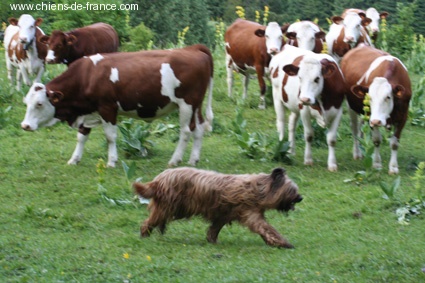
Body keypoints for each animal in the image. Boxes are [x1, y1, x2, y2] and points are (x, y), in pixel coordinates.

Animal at [20, 44, 214, 168]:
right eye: (26, 102)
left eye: (39, 104)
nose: (25, 125)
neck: (87, 76)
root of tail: (193, 48)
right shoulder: (87, 111)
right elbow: (81, 137)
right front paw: (74, 159)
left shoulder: (107, 109)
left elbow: (110, 137)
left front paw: (112, 161)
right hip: (196, 105)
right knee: (198, 129)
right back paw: (193, 160)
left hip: (186, 104)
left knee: (186, 132)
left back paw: (175, 160)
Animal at [133, 168, 302, 250]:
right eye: (291, 190)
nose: (300, 198)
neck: (260, 188)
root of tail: (157, 180)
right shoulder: (250, 213)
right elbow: (267, 229)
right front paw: (282, 243)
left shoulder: (224, 215)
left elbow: (214, 229)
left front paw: (212, 240)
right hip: (167, 206)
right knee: (148, 222)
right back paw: (145, 234)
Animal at [338, 44, 410, 175]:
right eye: (369, 98)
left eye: (388, 97)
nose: (376, 121)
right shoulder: (371, 117)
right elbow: (376, 140)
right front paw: (376, 164)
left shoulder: (403, 116)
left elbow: (394, 143)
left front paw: (393, 167)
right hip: (352, 106)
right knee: (355, 129)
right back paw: (357, 153)